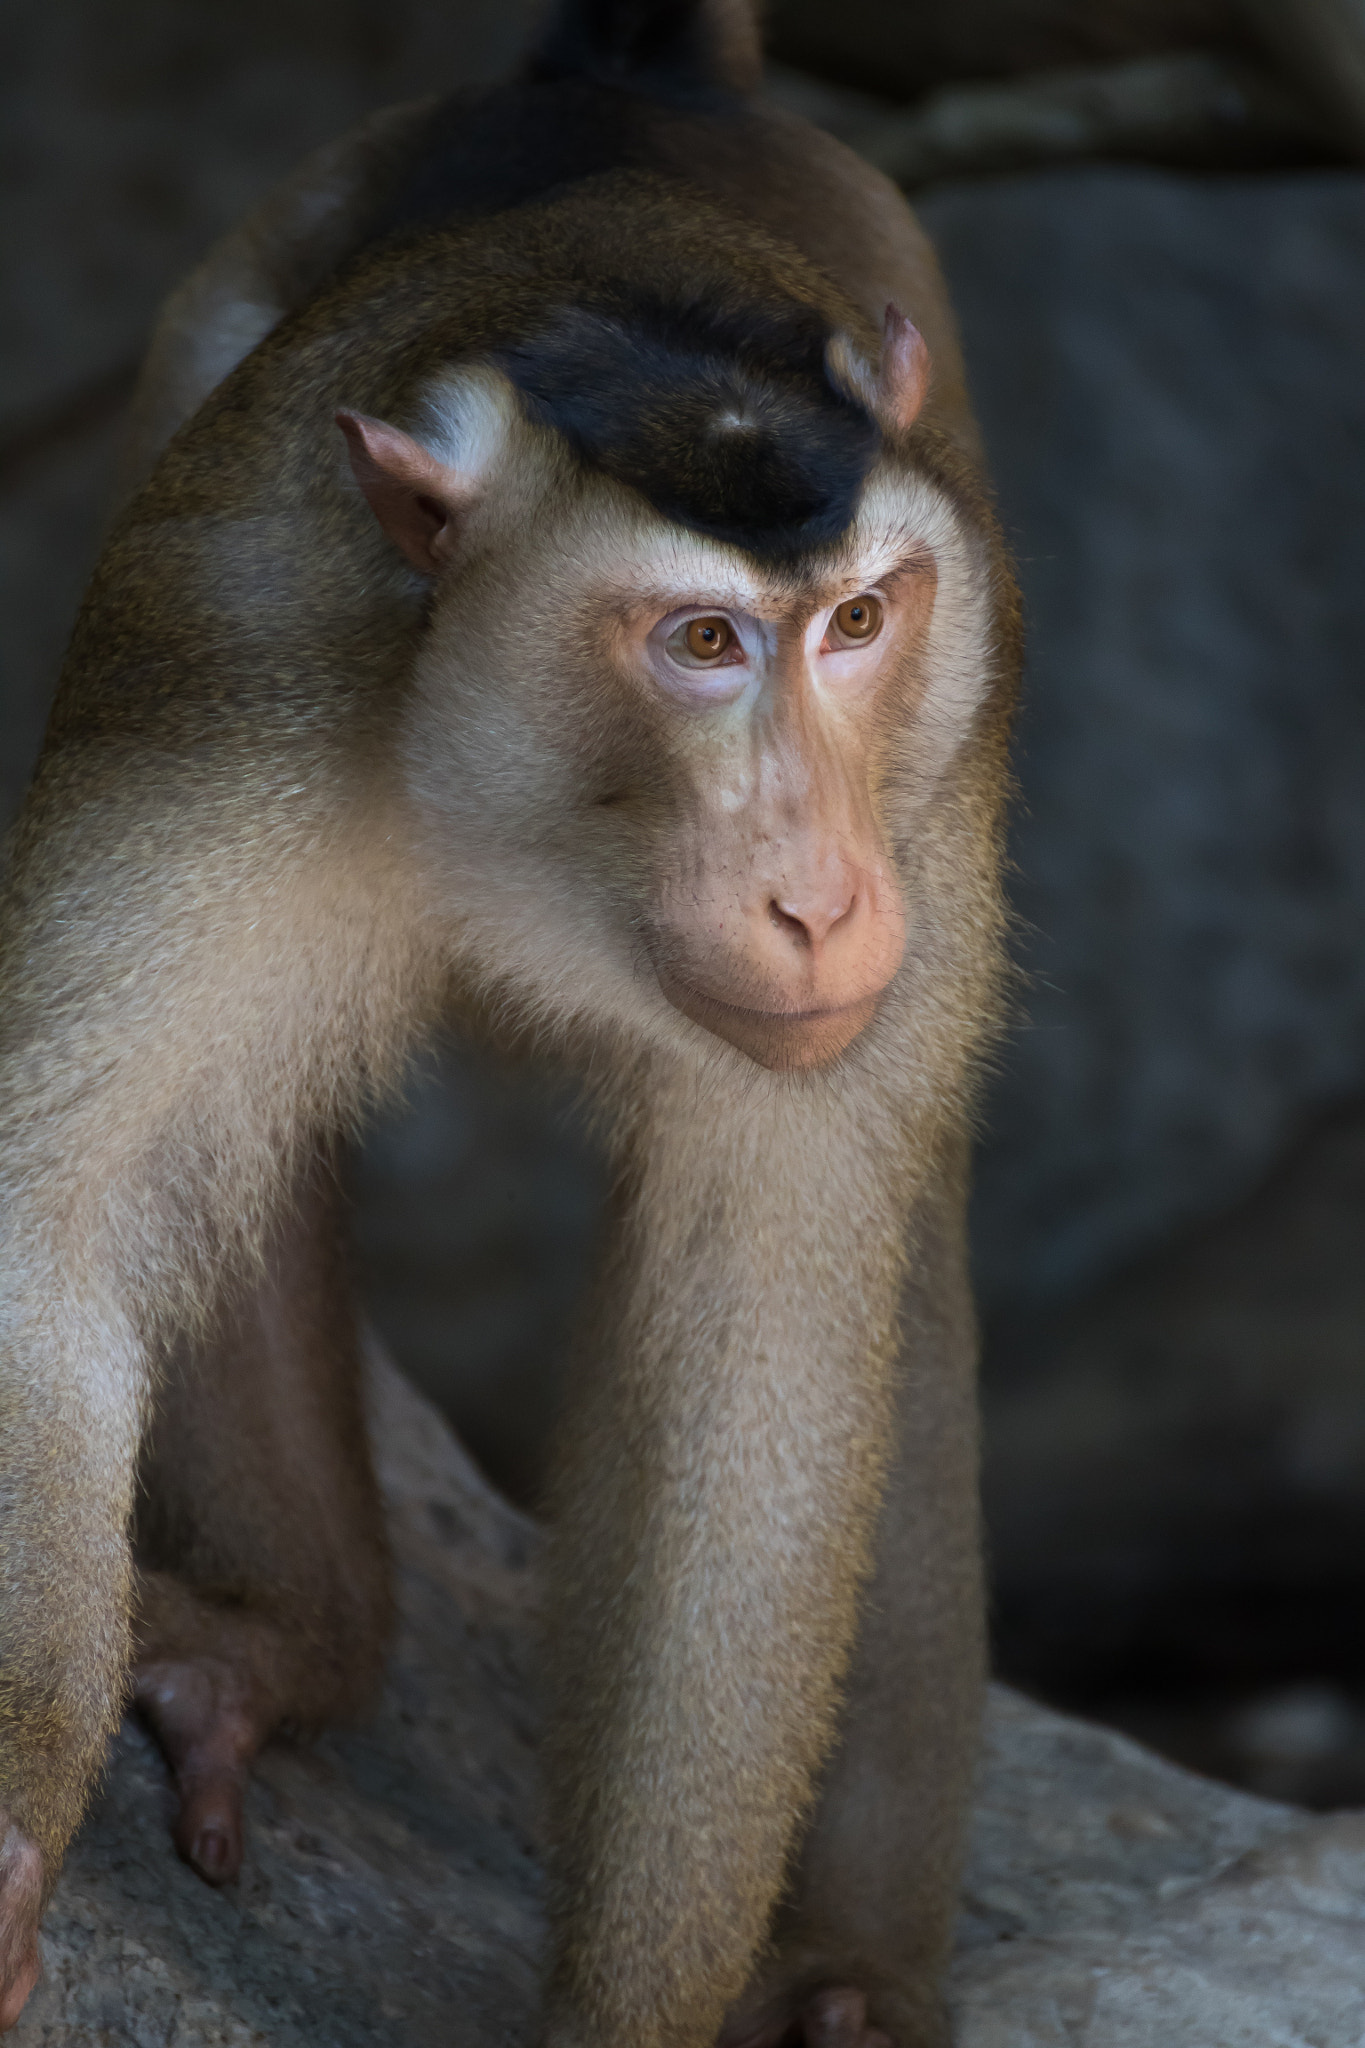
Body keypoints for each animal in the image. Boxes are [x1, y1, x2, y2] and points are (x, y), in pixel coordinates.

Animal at [0, 1, 1020, 2041]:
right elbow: (56, 1211)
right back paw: (297, 1642)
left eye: (858, 622)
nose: (820, 896)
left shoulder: (935, 768)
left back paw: (859, 1967)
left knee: (900, 1252)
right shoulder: (229, 667)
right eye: (701, 643)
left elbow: (755, 1335)